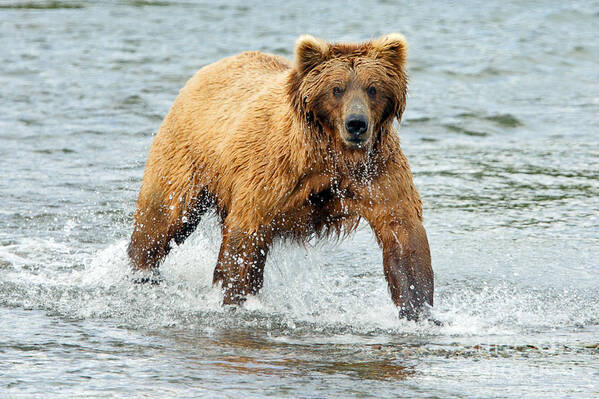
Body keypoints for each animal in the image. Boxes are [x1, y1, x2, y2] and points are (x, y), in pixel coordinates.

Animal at [129, 33, 434, 322]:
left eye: (373, 88)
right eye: (336, 89)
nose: (356, 124)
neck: (333, 153)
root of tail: (208, 69)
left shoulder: (377, 172)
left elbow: (402, 232)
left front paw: (419, 312)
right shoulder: (275, 171)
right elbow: (246, 235)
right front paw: (236, 299)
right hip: (187, 156)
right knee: (164, 218)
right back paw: (141, 270)